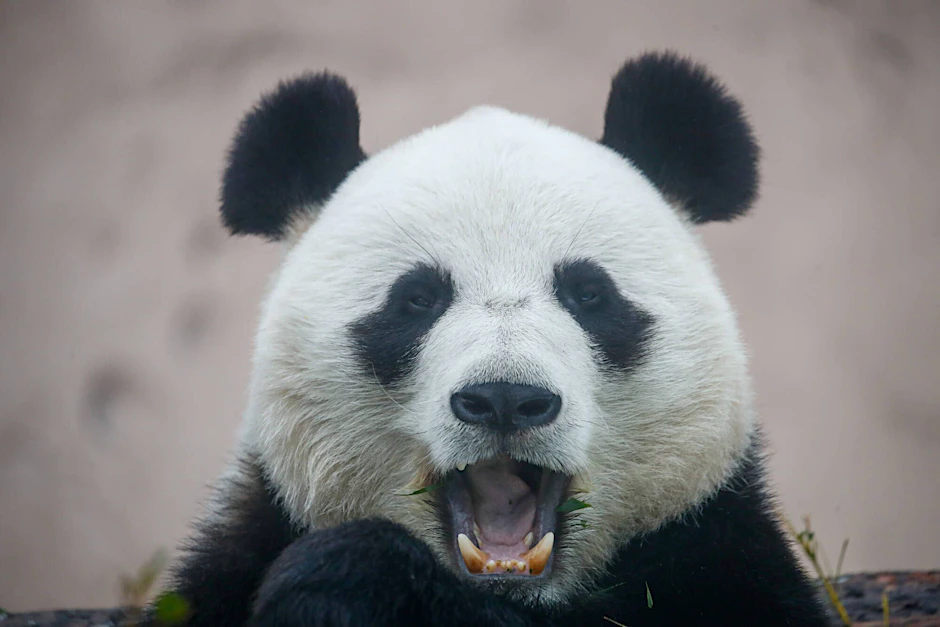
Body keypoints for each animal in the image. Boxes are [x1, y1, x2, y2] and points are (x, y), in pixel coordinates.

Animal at [167, 52, 830, 627]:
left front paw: (344, 580)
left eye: (589, 294)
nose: (505, 399)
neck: (509, 592)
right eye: (418, 298)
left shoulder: (716, 553)